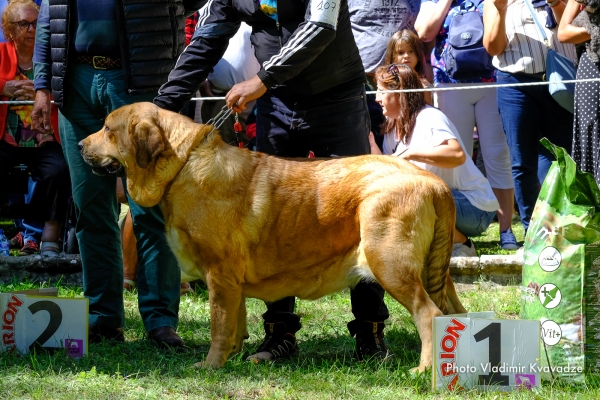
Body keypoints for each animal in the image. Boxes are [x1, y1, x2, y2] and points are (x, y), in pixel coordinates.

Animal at [77, 102, 466, 372]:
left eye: (108, 130)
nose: (80, 144)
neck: (183, 164)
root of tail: (434, 183)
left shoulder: (219, 275)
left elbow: (219, 325)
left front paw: (210, 366)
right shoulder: (230, 283)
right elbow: (235, 323)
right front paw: (233, 357)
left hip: (390, 265)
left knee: (428, 314)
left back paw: (423, 369)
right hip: (435, 274)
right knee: (453, 315)